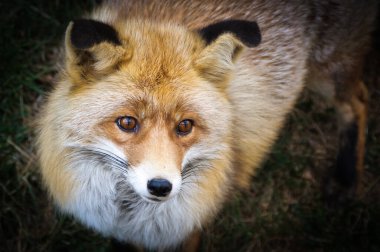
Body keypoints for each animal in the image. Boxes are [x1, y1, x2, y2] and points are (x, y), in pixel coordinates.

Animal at [36, 0, 378, 250]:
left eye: (185, 126)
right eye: (127, 122)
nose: (160, 187)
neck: (129, 216)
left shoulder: (189, 228)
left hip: (328, 74)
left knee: (359, 102)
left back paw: (346, 179)